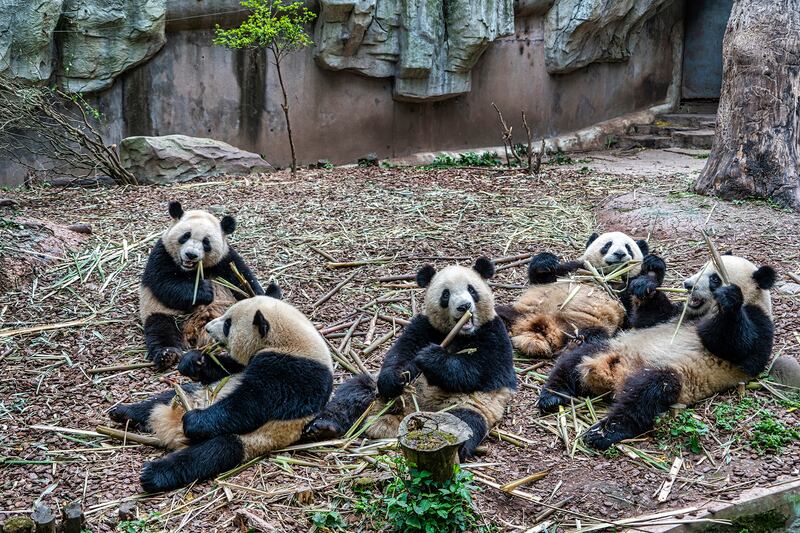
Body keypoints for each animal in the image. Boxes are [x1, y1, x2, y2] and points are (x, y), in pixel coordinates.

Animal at [108, 288, 332, 492]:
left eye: (227, 324)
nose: (207, 328)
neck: (291, 341)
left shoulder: (294, 372)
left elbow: (251, 404)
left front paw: (193, 420)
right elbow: (228, 368)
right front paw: (192, 362)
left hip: (251, 438)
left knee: (210, 453)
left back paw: (153, 474)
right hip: (192, 394)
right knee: (164, 398)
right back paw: (124, 412)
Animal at [304, 256, 516, 458]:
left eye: (471, 290)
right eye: (445, 294)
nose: (464, 306)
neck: (459, 333)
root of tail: (405, 416)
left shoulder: (494, 333)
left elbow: (481, 370)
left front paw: (431, 358)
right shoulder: (424, 326)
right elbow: (401, 353)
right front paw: (397, 377)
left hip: (467, 405)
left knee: (464, 421)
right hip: (379, 394)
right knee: (354, 393)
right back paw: (323, 427)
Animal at [496, 230, 672, 358]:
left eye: (628, 247)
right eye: (608, 245)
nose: (620, 254)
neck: (607, 276)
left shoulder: (623, 293)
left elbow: (642, 317)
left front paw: (651, 272)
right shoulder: (575, 269)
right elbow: (541, 277)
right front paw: (545, 261)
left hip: (589, 325)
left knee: (594, 337)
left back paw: (574, 345)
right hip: (518, 311)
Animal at [536, 254, 776, 448]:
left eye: (714, 278)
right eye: (701, 268)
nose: (688, 285)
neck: (702, 313)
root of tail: (611, 374)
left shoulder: (760, 323)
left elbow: (739, 347)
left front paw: (729, 299)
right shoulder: (675, 314)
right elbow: (648, 317)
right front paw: (650, 275)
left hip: (672, 374)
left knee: (646, 396)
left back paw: (603, 432)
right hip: (611, 346)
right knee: (573, 360)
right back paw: (553, 395)